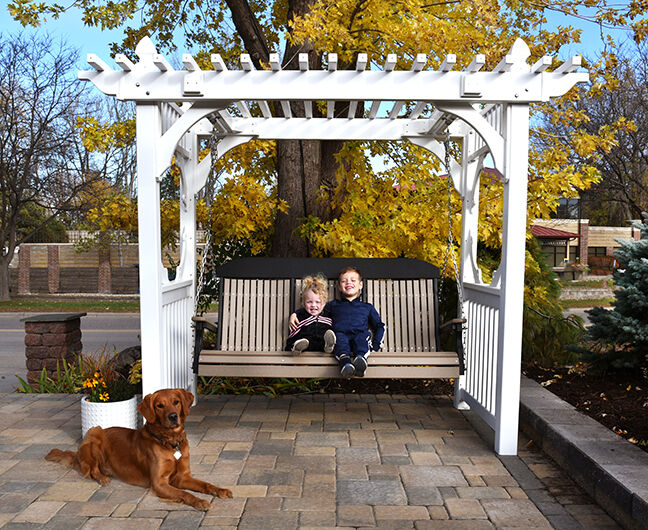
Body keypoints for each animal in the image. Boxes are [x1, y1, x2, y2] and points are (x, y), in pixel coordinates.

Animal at [45, 388, 233, 508]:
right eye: (159, 405)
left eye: (176, 402)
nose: (173, 417)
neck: (170, 442)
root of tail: (77, 453)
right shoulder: (159, 483)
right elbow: (184, 494)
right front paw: (199, 501)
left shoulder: (182, 477)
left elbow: (206, 484)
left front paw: (220, 490)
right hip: (94, 432)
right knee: (91, 470)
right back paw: (103, 477)